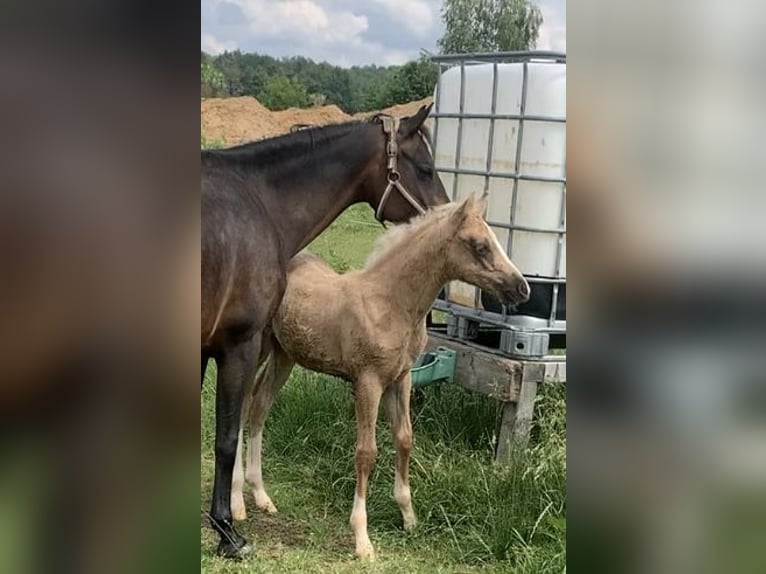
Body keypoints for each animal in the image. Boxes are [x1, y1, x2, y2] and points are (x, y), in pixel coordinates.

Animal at [201, 106, 450, 560]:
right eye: (425, 168)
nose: (447, 216)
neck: (259, 203)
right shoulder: (237, 345)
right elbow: (225, 438)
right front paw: (228, 532)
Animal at [234, 192, 532, 560]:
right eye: (480, 245)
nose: (522, 289)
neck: (392, 303)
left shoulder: (400, 378)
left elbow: (404, 439)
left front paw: (409, 516)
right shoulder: (368, 381)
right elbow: (366, 452)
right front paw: (362, 538)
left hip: (285, 354)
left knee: (259, 406)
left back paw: (262, 496)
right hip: (258, 347)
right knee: (242, 407)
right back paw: (236, 504)